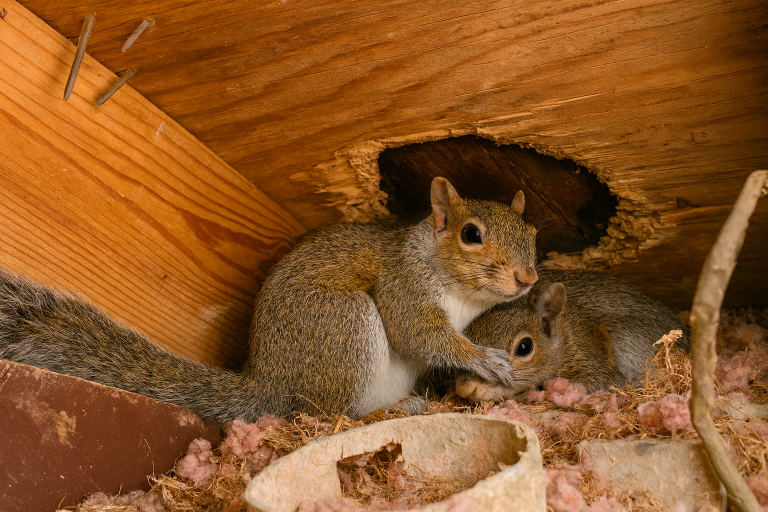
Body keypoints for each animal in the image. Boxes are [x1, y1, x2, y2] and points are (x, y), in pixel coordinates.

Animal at [0, 177, 538, 423]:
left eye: (533, 233)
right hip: (343, 325)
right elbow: (420, 334)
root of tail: (271, 382)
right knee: (330, 415)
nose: (528, 276)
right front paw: (485, 360)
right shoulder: (403, 284)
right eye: (471, 234)